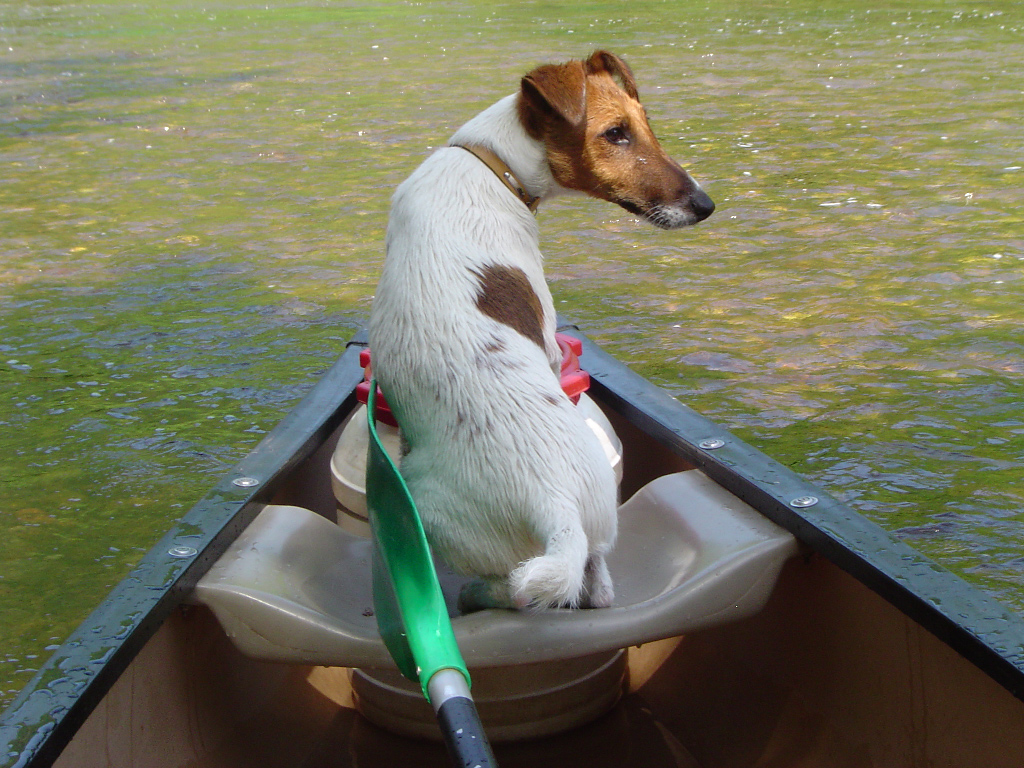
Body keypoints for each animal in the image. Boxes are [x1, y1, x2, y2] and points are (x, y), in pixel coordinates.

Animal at [368, 48, 712, 614]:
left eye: (646, 127)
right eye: (617, 133)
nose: (706, 205)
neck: (491, 165)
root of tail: (555, 509)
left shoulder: (549, 339)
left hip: (430, 509)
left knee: (516, 588)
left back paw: (474, 594)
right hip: (592, 519)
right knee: (591, 581)